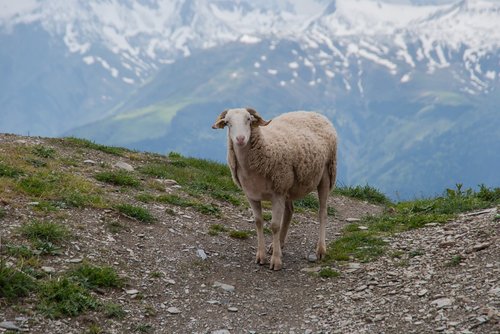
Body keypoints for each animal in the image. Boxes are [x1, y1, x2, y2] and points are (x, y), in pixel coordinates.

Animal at [213, 108, 338, 270]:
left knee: (322, 213)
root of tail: (315, 113)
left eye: (249, 119)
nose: (240, 139)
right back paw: (278, 244)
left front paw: (276, 261)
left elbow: (274, 226)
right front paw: (261, 256)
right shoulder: (252, 195)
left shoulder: (277, 194)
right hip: (287, 186)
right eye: (228, 123)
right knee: (290, 211)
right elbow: (258, 222)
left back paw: (321, 250)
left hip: (325, 174)